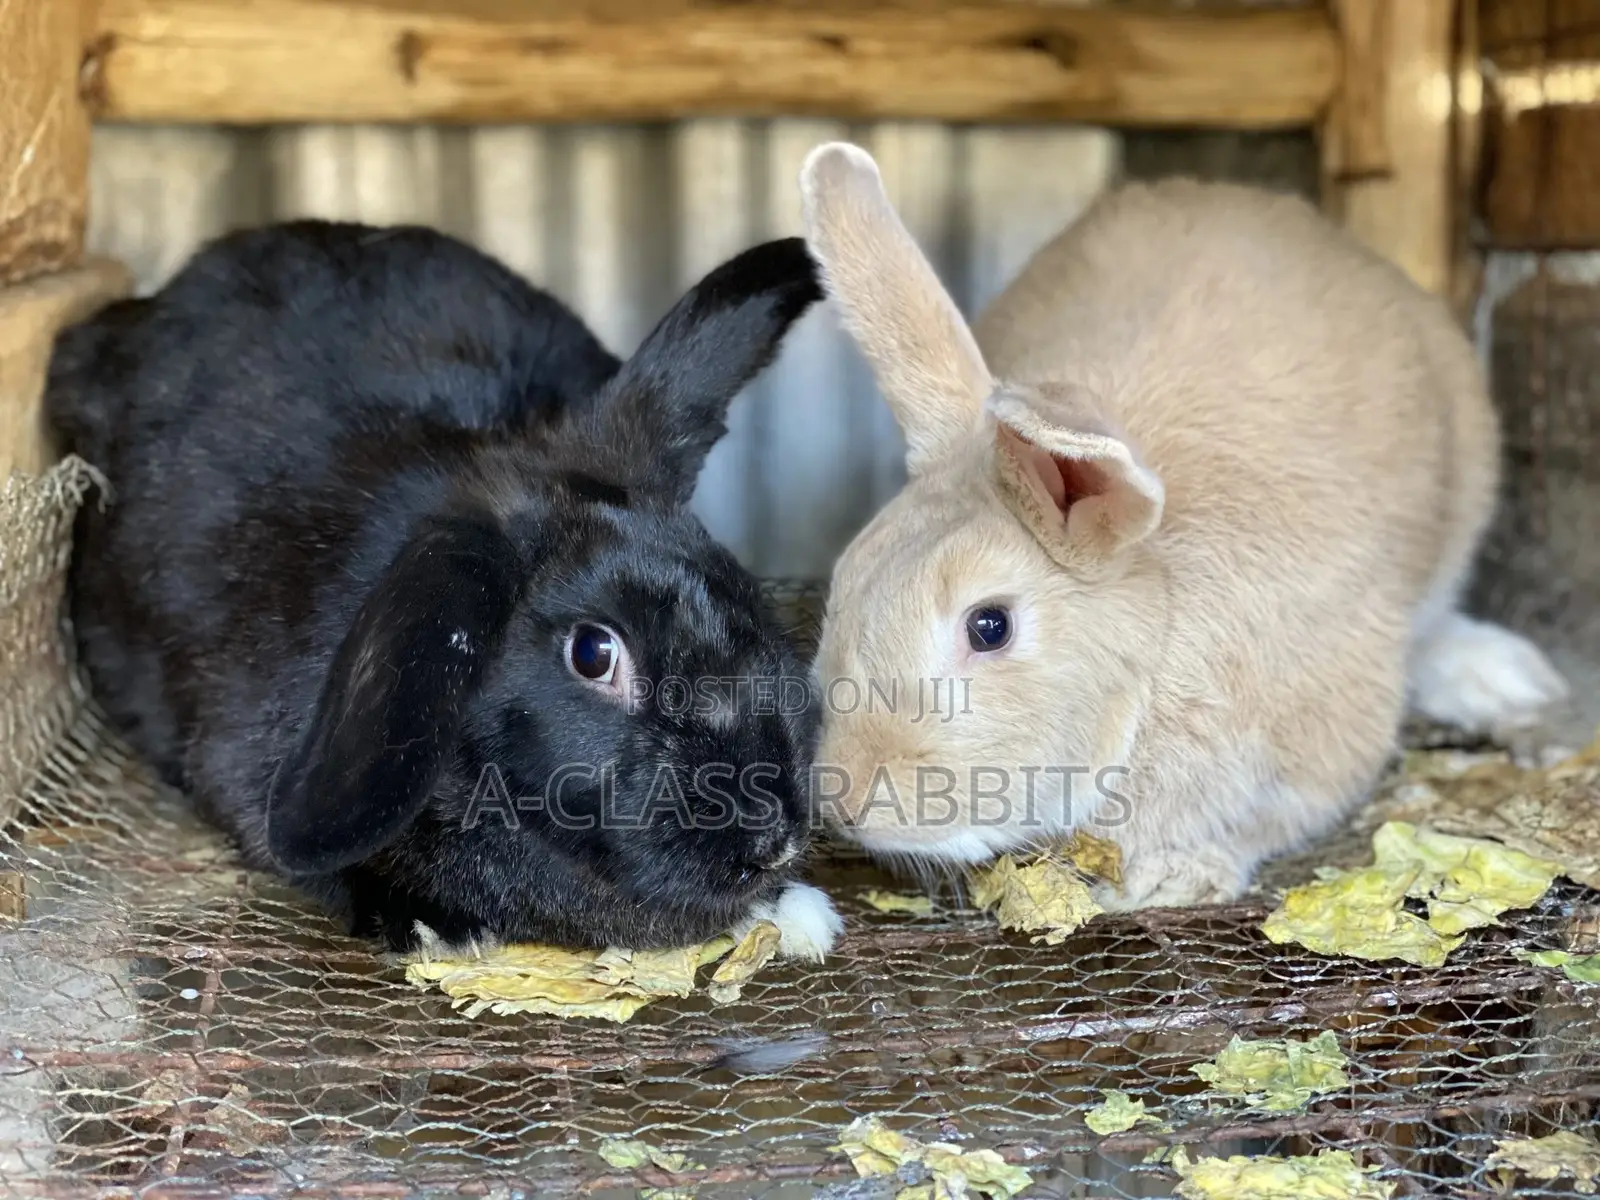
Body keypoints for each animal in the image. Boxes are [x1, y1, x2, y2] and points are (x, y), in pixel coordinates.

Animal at [797, 142, 1569, 911]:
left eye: (989, 626)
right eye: (845, 586)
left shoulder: (1322, 738)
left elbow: (1272, 816)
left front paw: (1174, 876)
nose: (845, 799)